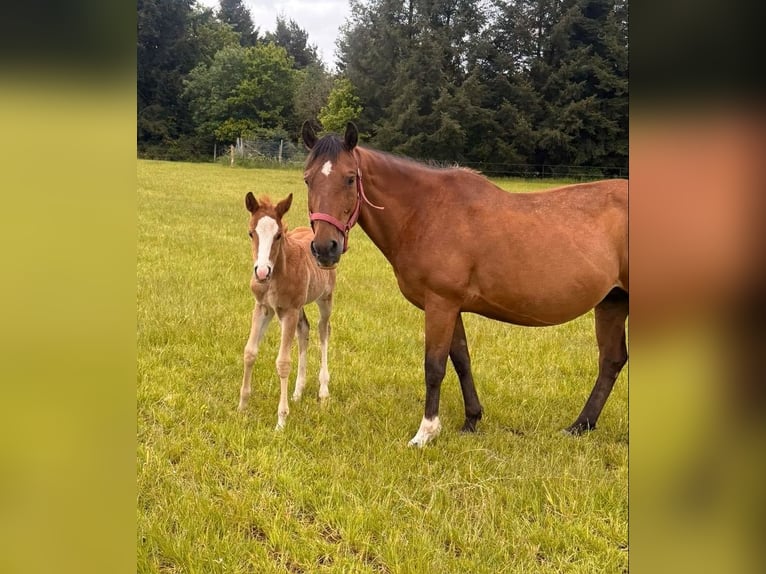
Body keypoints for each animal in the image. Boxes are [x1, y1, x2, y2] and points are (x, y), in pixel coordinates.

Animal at [238, 192, 336, 430]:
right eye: (251, 232)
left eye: (279, 235)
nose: (261, 272)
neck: (276, 274)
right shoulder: (264, 308)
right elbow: (249, 352)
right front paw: (242, 407)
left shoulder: (289, 311)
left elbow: (283, 362)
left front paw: (281, 421)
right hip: (299, 307)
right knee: (304, 330)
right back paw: (298, 392)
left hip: (325, 299)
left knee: (323, 331)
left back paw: (323, 391)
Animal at [301, 121, 628, 447]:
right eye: (307, 179)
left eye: (350, 178)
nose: (325, 248)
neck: (425, 212)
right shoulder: (451, 306)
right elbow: (461, 361)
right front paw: (471, 419)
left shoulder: (440, 304)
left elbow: (434, 367)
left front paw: (426, 431)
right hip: (612, 302)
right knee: (611, 361)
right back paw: (581, 425)